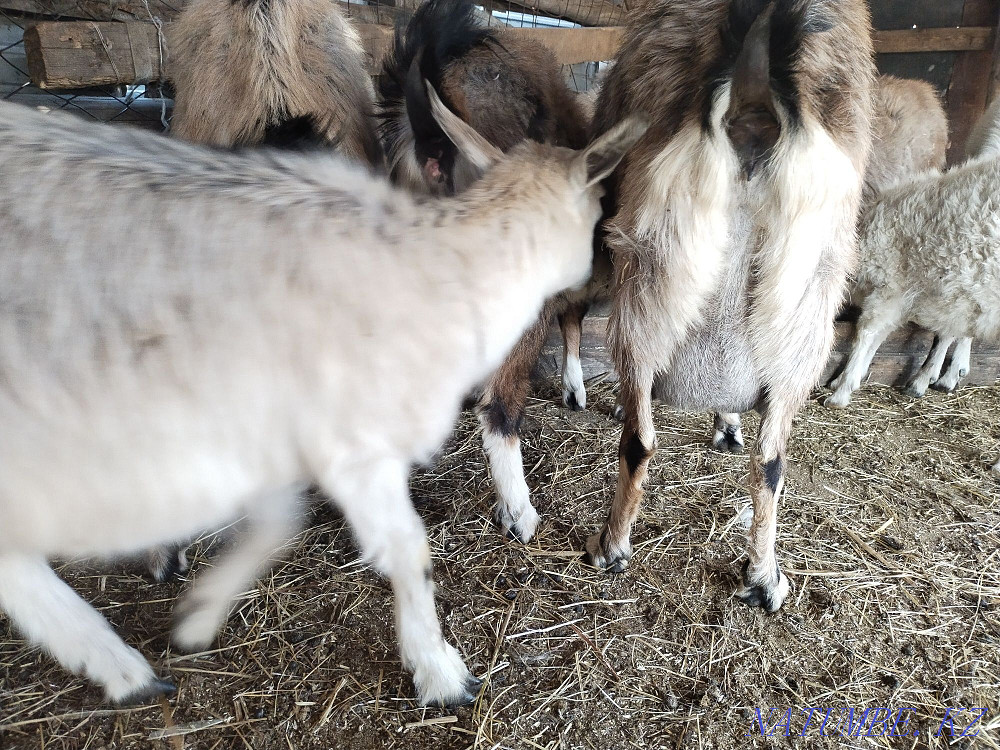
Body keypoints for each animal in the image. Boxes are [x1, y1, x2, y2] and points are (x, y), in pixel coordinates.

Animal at [0, 96, 644, 705]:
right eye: (597, 210)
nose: (601, 276)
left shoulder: (272, 429)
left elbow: (279, 522)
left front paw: (199, 614)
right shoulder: (353, 442)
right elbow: (407, 549)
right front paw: (440, 672)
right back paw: (118, 666)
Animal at [587, 0, 874, 613]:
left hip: (647, 281)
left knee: (639, 439)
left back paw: (611, 547)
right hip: (806, 311)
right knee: (771, 462)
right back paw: (764, 577)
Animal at [824, 99, 1000, 425]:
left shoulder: (890, 287)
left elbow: (865, 334)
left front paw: (842, 389)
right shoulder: (904, 296)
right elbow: (879, 336)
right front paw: (849, 379)